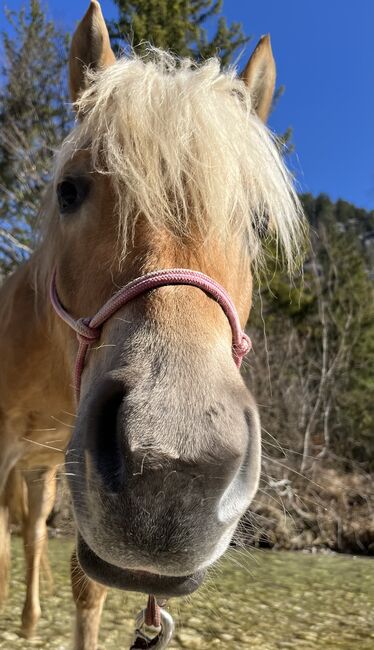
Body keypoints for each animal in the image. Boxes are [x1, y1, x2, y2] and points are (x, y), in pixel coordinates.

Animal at [0, 2, 304, 644]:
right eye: (68, 191)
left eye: (258, 223)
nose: (175, 477)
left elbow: (85, 588)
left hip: (44, 473)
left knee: (33, 534)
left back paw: (31, 619)